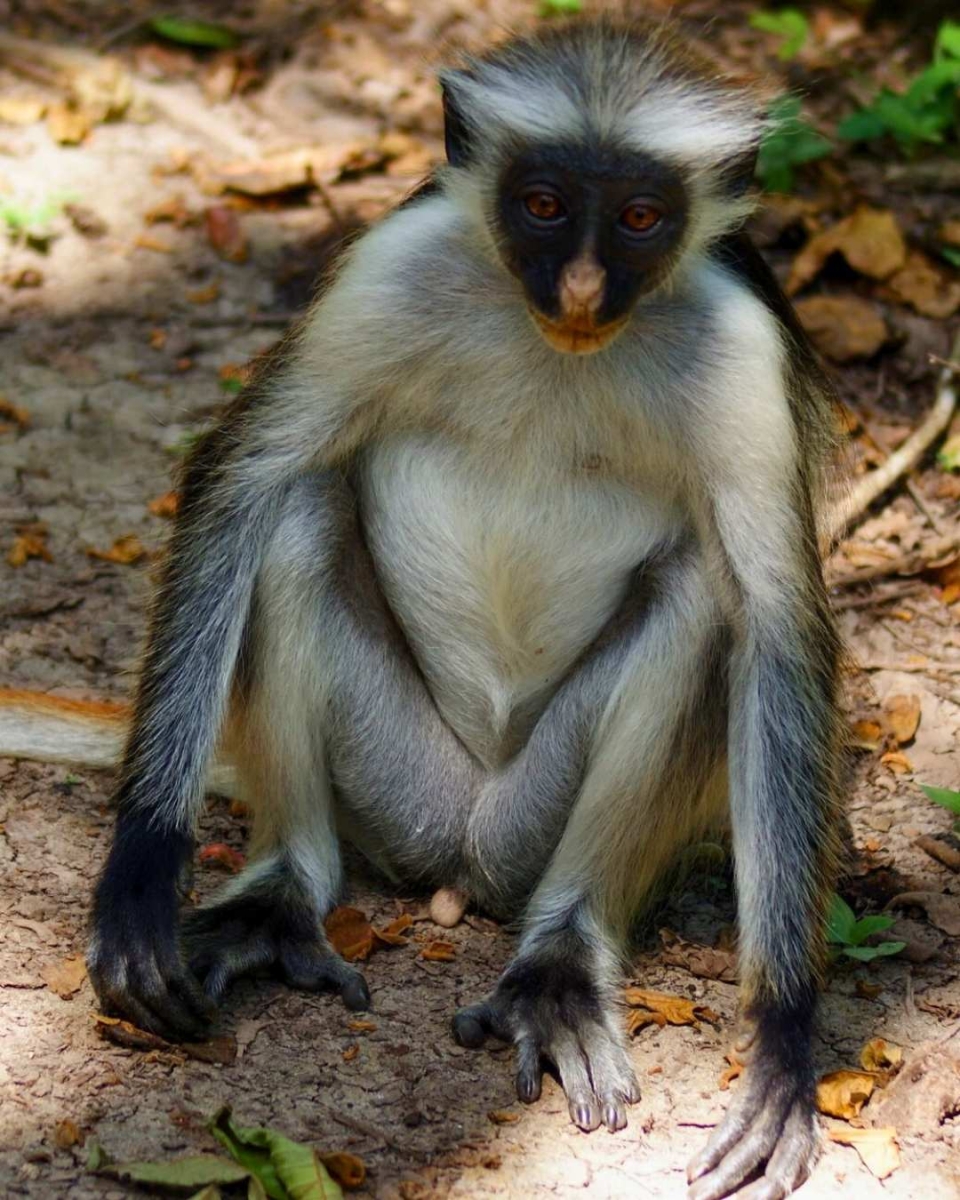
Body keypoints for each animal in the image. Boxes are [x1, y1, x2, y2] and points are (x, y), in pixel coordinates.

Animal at [0, 21, 840, 1200]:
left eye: (639, 218)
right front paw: (139, 872)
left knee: (701, 599)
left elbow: (776, 636)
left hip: (526, 816)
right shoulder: (395, 266)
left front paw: (783, 1037)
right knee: (299, 504)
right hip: (389, 782)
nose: (582, 284)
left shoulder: (744, 349)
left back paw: (559, 960)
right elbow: (240, 479)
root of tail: (460, 846)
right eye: (542, 203)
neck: (556, 345)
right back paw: (283, 896)